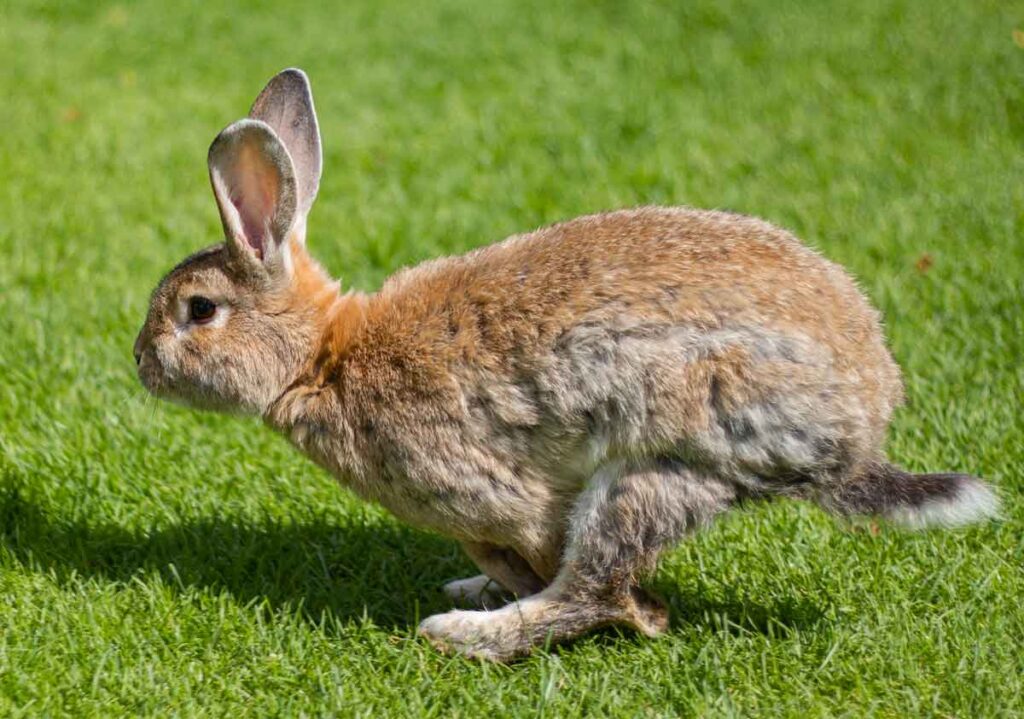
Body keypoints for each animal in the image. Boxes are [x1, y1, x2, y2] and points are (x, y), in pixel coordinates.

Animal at [134, 70, 999, 663]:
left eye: (199, 310)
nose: (140, 362)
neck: (322, 356)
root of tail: (858, 433)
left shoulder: (495, 494)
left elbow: (546, 555)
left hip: (650, 469)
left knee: (596, 588)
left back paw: (463, 630)